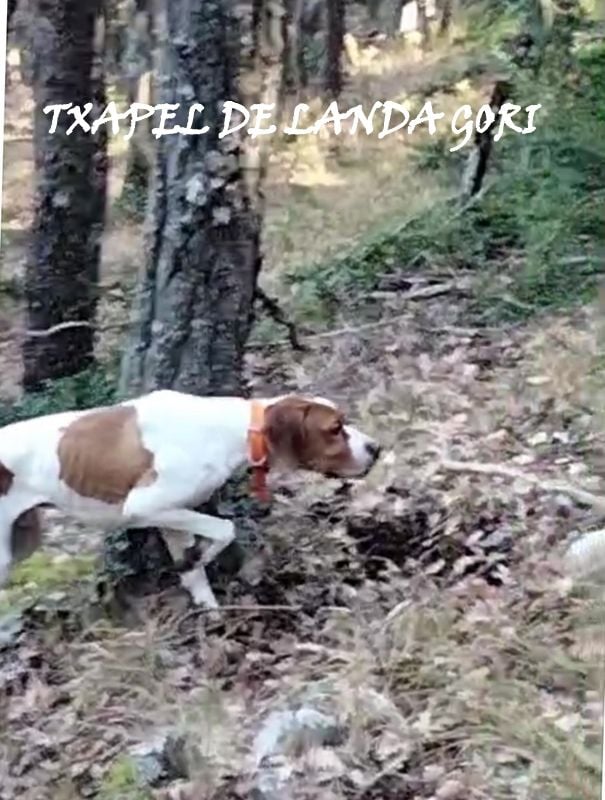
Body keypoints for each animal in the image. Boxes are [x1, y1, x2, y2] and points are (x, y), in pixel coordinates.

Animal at [0, 390, 380, 608]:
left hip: (23, 543)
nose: (376, 448)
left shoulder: (170, 516)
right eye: (335, 429)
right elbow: (224, 529)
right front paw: (200, 558)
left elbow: (197, 574)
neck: (224, 428)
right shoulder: (144, 507)